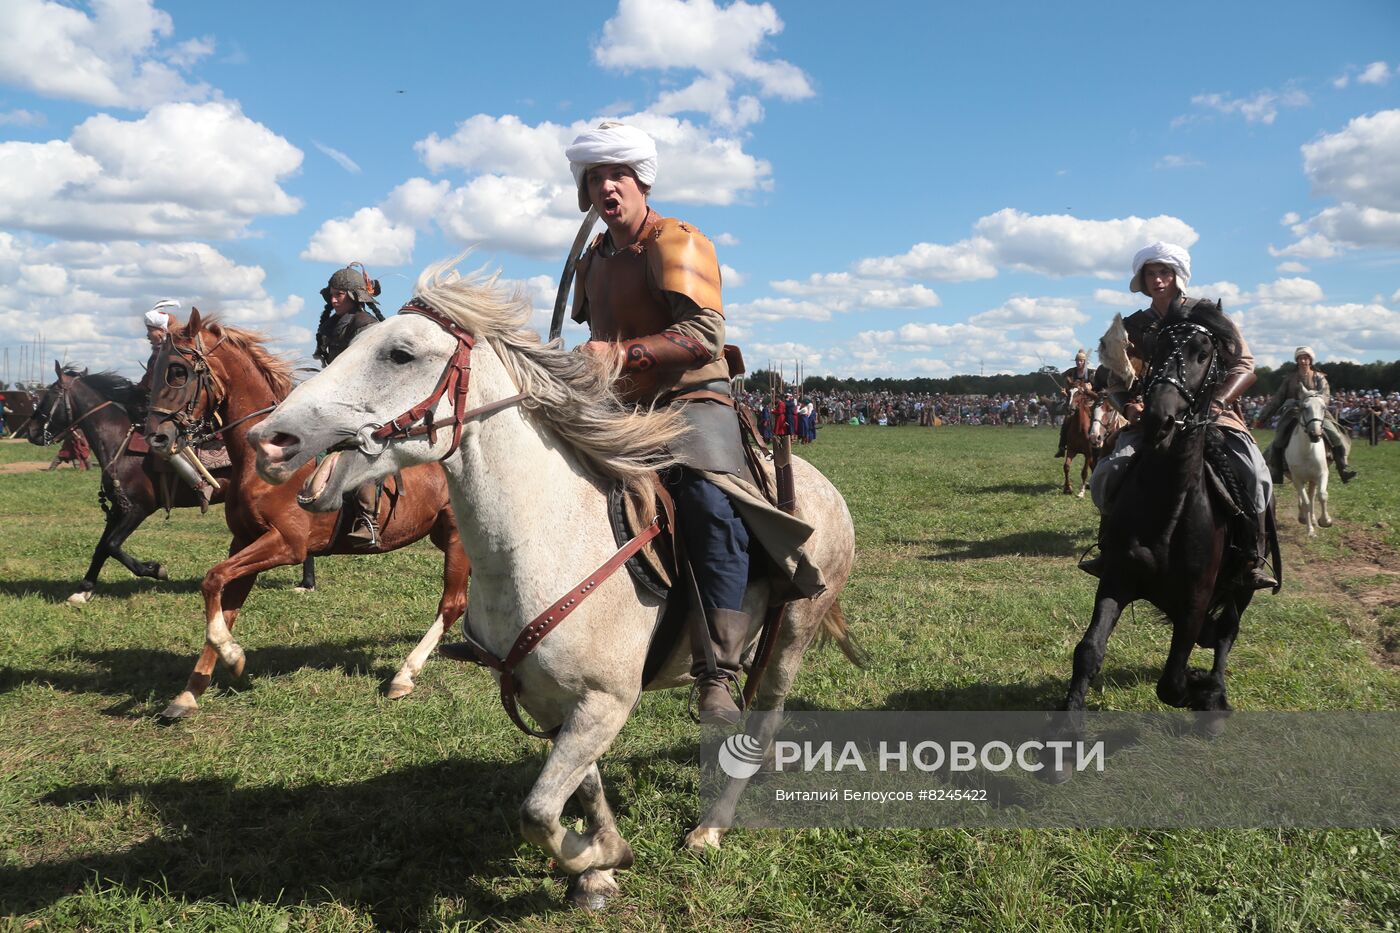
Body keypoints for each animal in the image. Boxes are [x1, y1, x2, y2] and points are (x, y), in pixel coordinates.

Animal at [28, 364, 317, 602]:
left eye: (50, 394)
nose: (31, 433)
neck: (119, 442)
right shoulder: (119, 509)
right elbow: (102, 547)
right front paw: (84, 589)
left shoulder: (137, 509)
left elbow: (111, 545)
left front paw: (155, 569)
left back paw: (307, 583)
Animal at [145, 308, 467, 714]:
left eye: (177, 371)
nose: (156, 436)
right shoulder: (244, 542)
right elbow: (224, 603)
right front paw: (190, 692)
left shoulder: (286, 544)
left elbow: (212, 579)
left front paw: (232, 657)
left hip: (456, 539)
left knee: (452, 604)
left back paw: (405, 675)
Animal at [247, 261, 856, 907]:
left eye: (399, 353)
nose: (271, 440)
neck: (542, 538)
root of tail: (826, 491)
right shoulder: (551, 702)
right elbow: (577, 790)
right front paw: (597, 868)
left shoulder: (606, 702)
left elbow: (538, 812)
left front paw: (603, 855)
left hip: (791, 635)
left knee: (763, 720)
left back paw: (711, 826)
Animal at [1058, 301, 1282, 714]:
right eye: (1158, 349)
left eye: (1203, 353)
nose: (1158, 418)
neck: (1169, 509)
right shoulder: (1116, 579)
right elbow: (1088, 651)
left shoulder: (1195, 602)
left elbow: (1173, 683)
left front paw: (1203, 689)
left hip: (1243, 587)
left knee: (1226, 632)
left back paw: (1215, 688)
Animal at [1282, 389, 1327, 535]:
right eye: (1305, 408)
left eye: (1323, 408)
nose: (1315, 434)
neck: (1307, 451)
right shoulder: (1297, 479)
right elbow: (1306, 502)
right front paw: (1310, 531)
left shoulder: (1322, 474)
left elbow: (1321, 496)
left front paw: (1325, 521)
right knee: (1303, 498)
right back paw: (1303, 517)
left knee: (1312, 496)